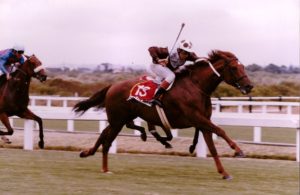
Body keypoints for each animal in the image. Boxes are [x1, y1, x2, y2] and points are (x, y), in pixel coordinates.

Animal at [74, 50, 252, 180]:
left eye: (243, 66)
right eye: (234, 68)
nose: (249, 86)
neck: (196, 87)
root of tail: (112, 86)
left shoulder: (203, 122)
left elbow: (213, 148)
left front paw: (224, 173)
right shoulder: (197, 118)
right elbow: (221, 131)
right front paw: (238, 151)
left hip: (119, 119)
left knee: (104, 133)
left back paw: (87, 152)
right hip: (118, 120)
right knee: (107, 142)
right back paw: (105, 169)